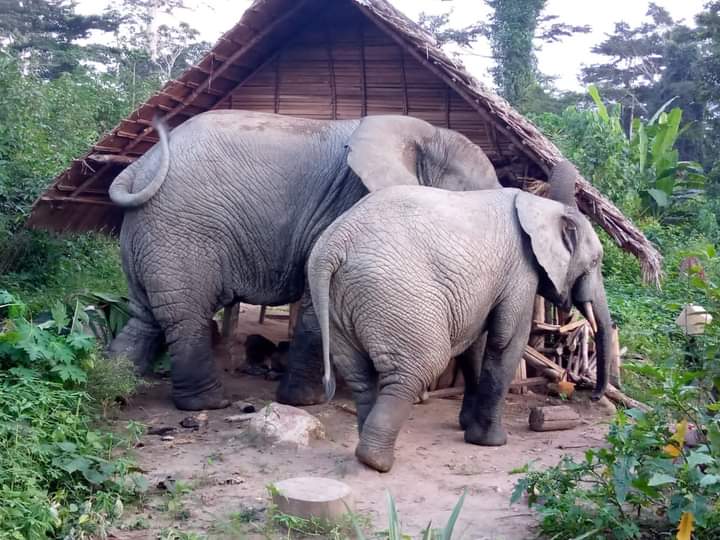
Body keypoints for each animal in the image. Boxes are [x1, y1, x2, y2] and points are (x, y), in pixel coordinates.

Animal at [108, 108, 500, 410]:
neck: (428, 133)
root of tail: (138, 166)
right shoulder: (348, 205)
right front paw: (306, 402)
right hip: (181, 231)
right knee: (185, 315)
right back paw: (208, 404)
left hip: (149, 235)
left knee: (147, 315)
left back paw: (116, 389)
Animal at [306, 160, 612, 472]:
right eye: (595, 261)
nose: (593, 395)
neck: (539, 206)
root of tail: (332, 247)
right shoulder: (520, 272)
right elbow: (505, 342)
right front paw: (490, 442)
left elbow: (476, 343)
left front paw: (467, 427)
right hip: (394, 295)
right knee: (418, 366)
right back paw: (377, 462)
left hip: (338, 304)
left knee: (360, 374)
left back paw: (366, 453)